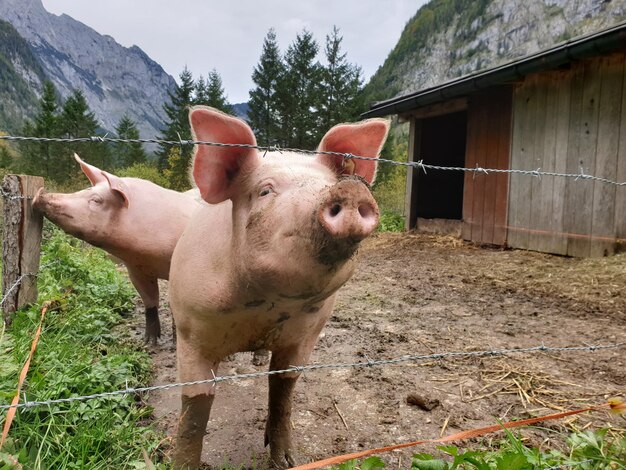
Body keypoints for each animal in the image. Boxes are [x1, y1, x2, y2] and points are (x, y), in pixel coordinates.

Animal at [32, 154, 200, 346]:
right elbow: (150, 302)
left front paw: (175, 344)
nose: (40, 193)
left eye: (96, 199)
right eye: (84, 190)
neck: (149, 257)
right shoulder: (136, 269)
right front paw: (147, 343)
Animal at [168, 107, 388, 470]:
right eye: (265, 191)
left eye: (329, 183)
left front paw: (286, 461)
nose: (349, 189)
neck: (264, 304)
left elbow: (282, 394)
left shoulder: (306, 334)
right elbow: (194, 416)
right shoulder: (192, 333)